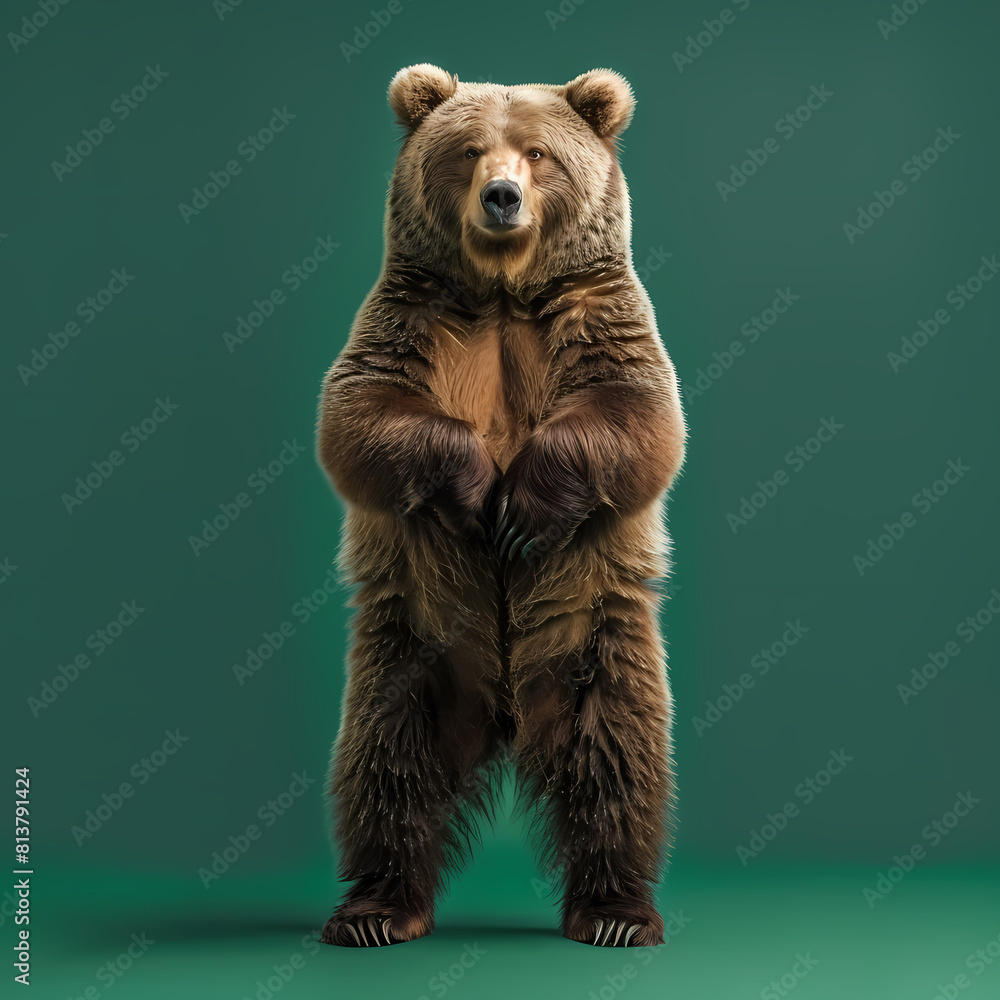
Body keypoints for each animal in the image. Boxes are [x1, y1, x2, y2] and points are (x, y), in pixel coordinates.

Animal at [316, 64, 686, 948]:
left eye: (539, 151)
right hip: (408, 649)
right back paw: (377, 908)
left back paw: (615, 911)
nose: (502, 197)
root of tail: (509, 717)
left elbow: (641, 418)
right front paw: (482, 491)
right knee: (386, 762)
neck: (504, 293)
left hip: (601, 640)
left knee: (619, 760)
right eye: (470, 149)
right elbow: (359, 415)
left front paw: (523, 507)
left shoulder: (600, 315)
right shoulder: (411, 318)